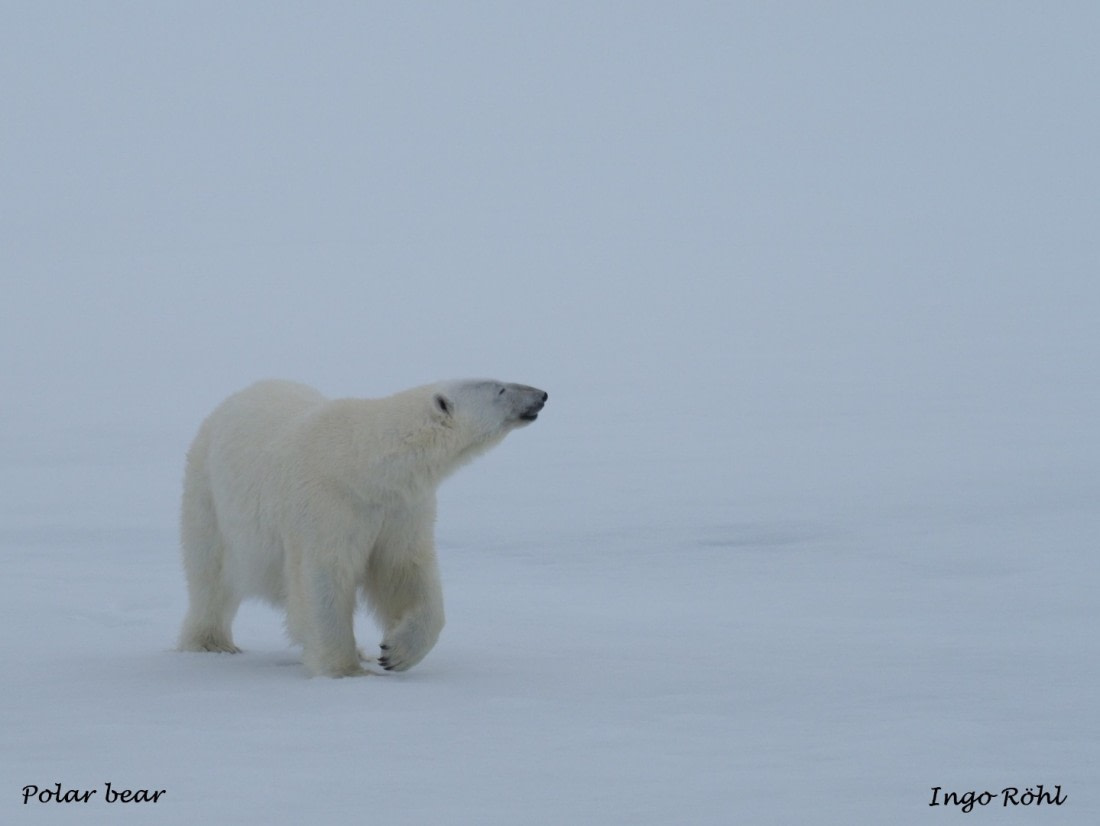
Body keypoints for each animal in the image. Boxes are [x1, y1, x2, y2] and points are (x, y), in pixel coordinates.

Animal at [177, 378, 547, 677]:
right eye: (500, 389)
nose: (541, 395)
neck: (364, 465)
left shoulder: (400, 510)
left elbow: (406, 571)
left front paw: (395, 653)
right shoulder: (328, 504)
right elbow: (325, 576)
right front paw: (346, 670)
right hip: (209, 493)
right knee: (210, 574)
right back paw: (210, 643)